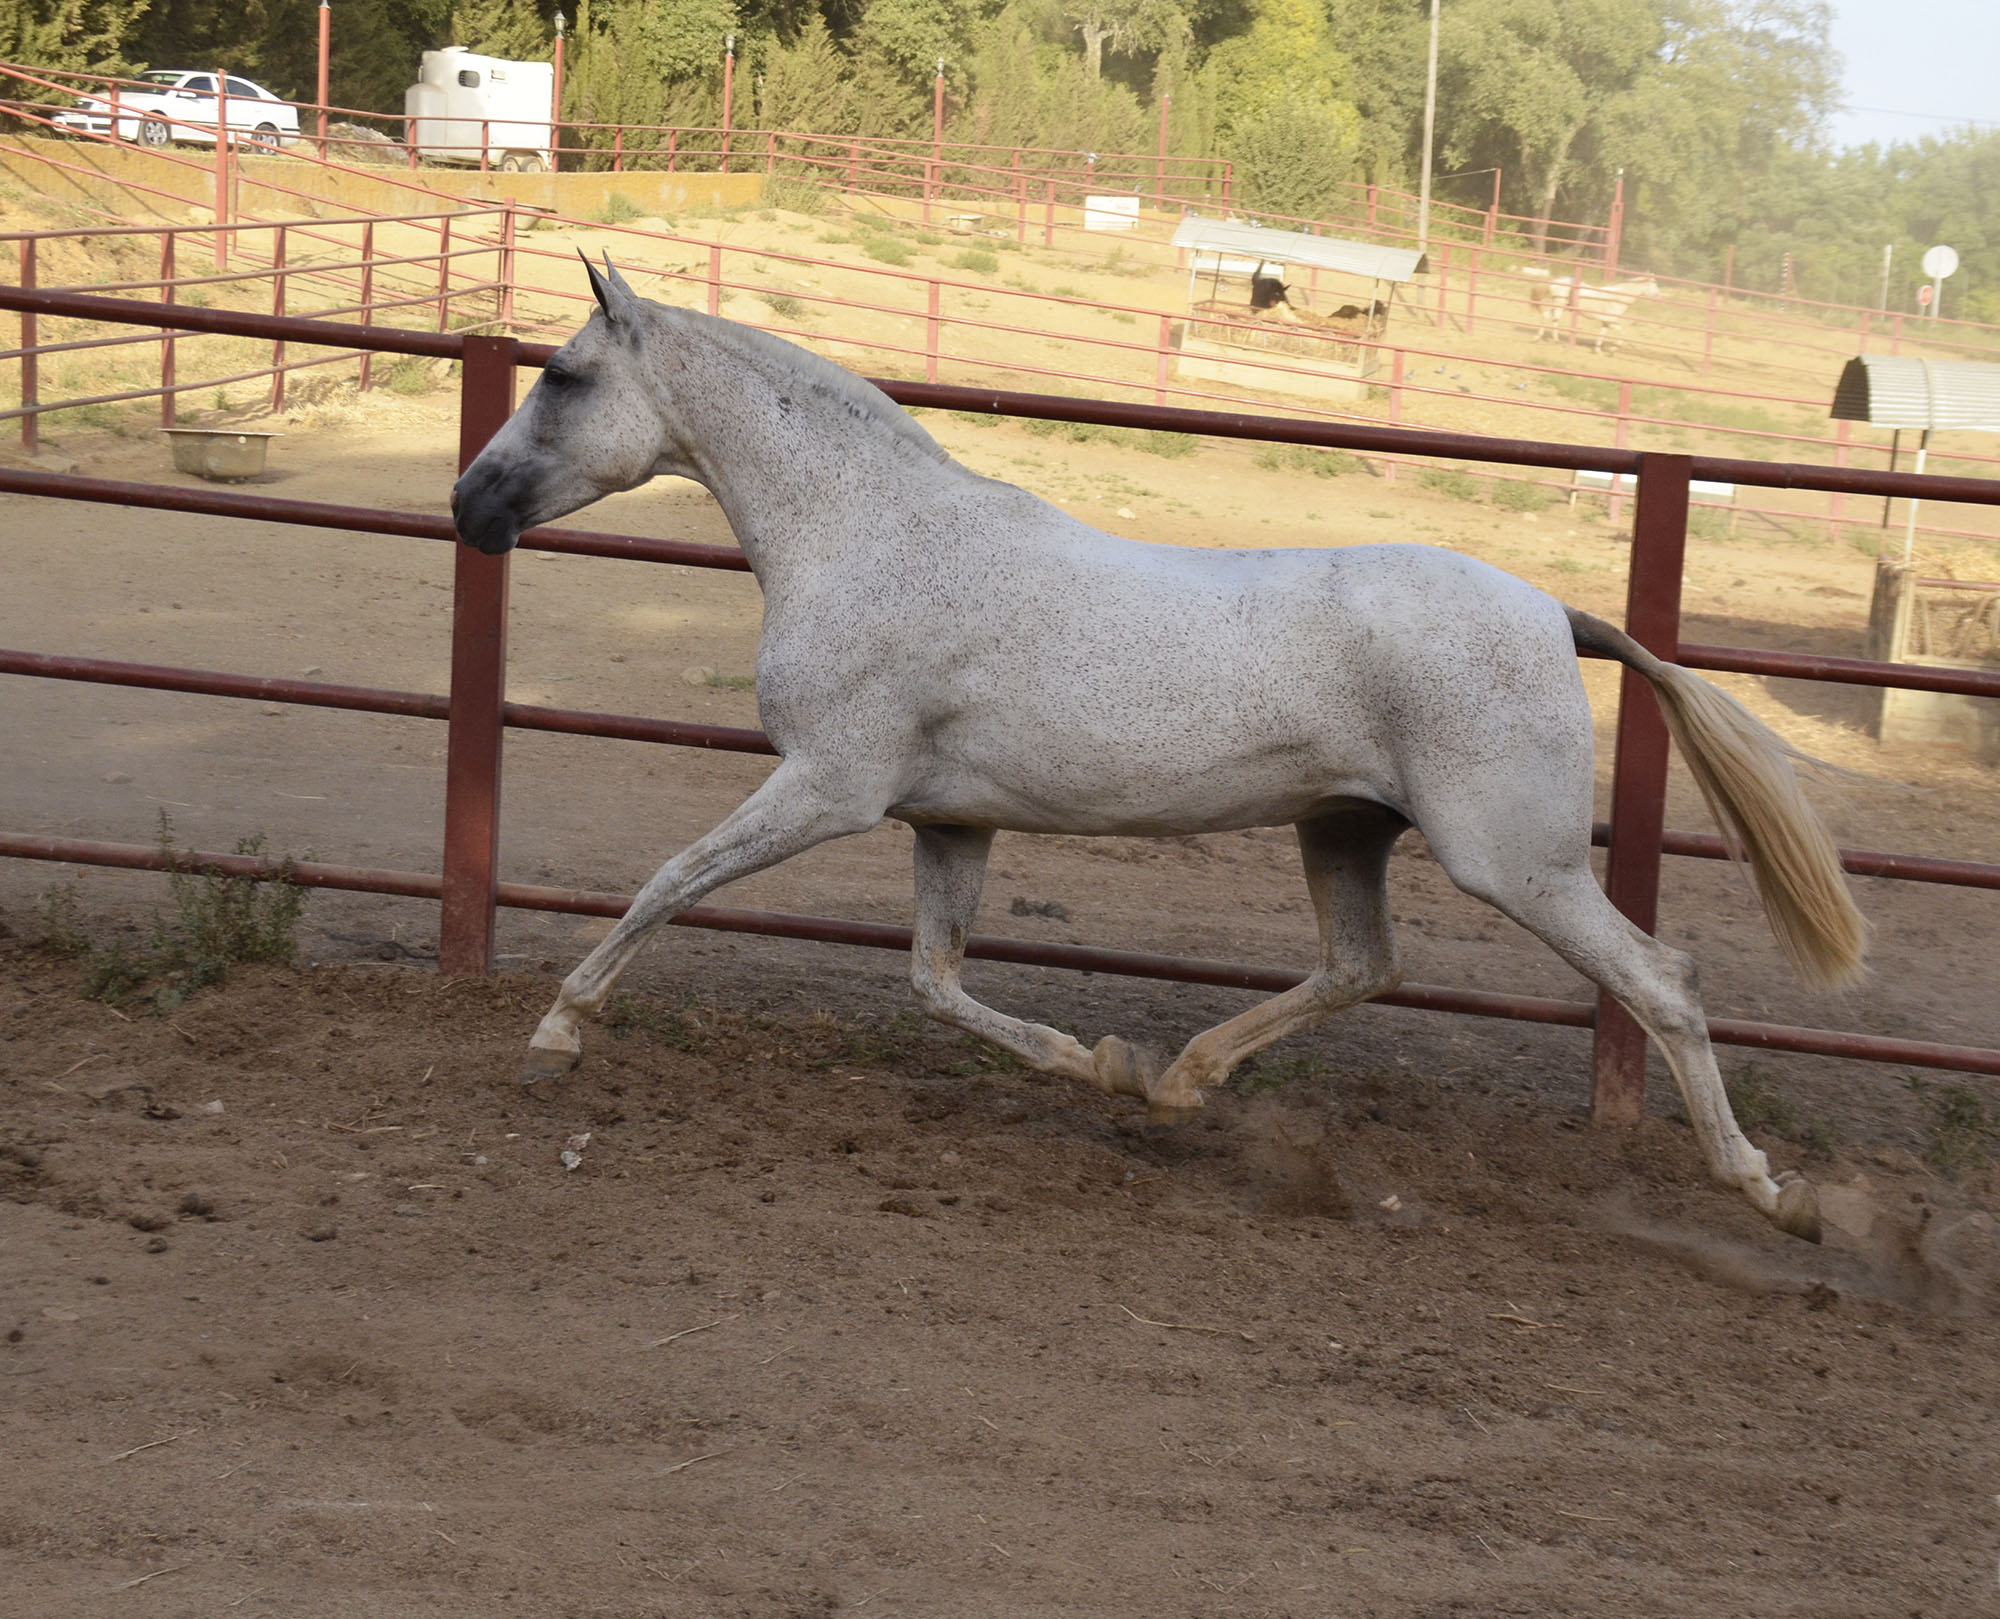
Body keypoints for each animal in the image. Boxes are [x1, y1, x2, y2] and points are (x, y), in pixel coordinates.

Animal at [1520, 271, 1664, 349]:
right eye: (1654, 284)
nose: (1658, 296)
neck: (1617, 297)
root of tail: (1556, 282)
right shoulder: (1611, 321)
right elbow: (1622, 332)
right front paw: (1612, 349)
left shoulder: (1606, 322)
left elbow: (1602, 334)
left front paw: (1598, 350)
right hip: (1559, 305)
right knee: (1555, 321)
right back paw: (1555, 340)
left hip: (1558, 305)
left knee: (1546, 316)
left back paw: (1536, 338)